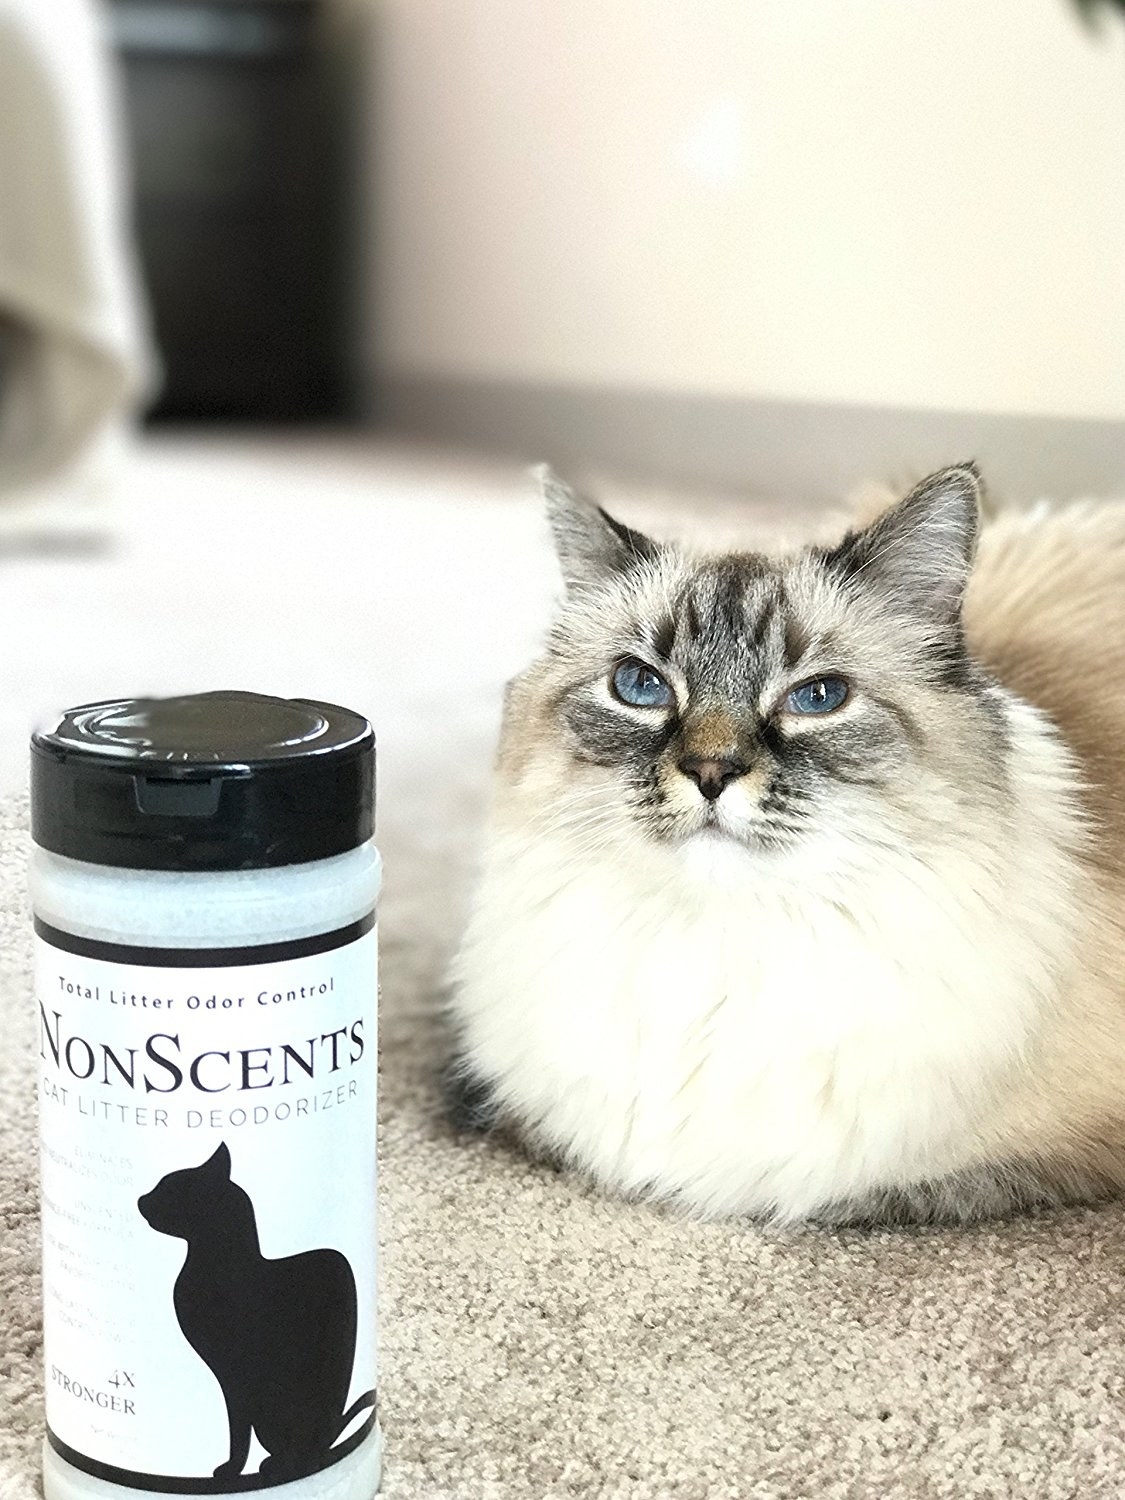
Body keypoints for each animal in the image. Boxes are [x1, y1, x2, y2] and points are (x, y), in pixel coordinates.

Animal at [138, 1146, 376, 1476]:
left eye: (168, 1189)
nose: (140, 1199)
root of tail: (332, 1432)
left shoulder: (236, 1376)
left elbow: (238, 1430)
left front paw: (232, 1468)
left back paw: (279, 1463)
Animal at [444, 462, 1125, 1224]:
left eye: (817, 697)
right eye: (640, 686)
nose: (710, 772)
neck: (716, 956)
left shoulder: (1041, 1161)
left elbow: (853, 1192)